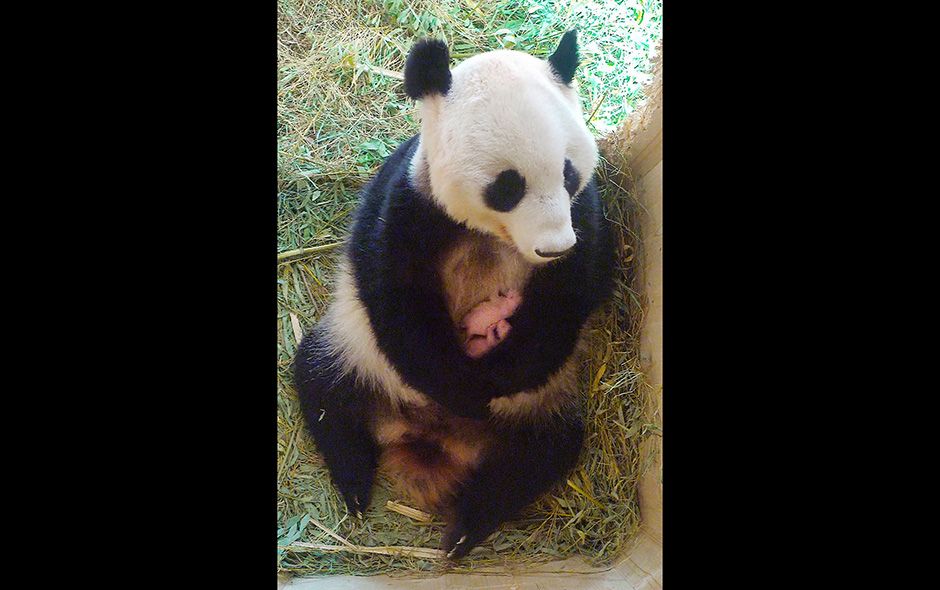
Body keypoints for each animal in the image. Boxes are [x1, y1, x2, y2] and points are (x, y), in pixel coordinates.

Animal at [294, 30, 616, 560]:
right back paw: (356, 483)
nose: (552, 247)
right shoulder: (408, 203)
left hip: (541, 405)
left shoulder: (585, 221)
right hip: (356, 349)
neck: (491, 234)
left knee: (535, 457)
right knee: (325, 389)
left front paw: (493, 377)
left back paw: (465, 526)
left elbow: (565, 306)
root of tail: (430, 437)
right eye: (508, 186)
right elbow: (394, 298)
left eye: (568, 173)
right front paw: (460, 391)